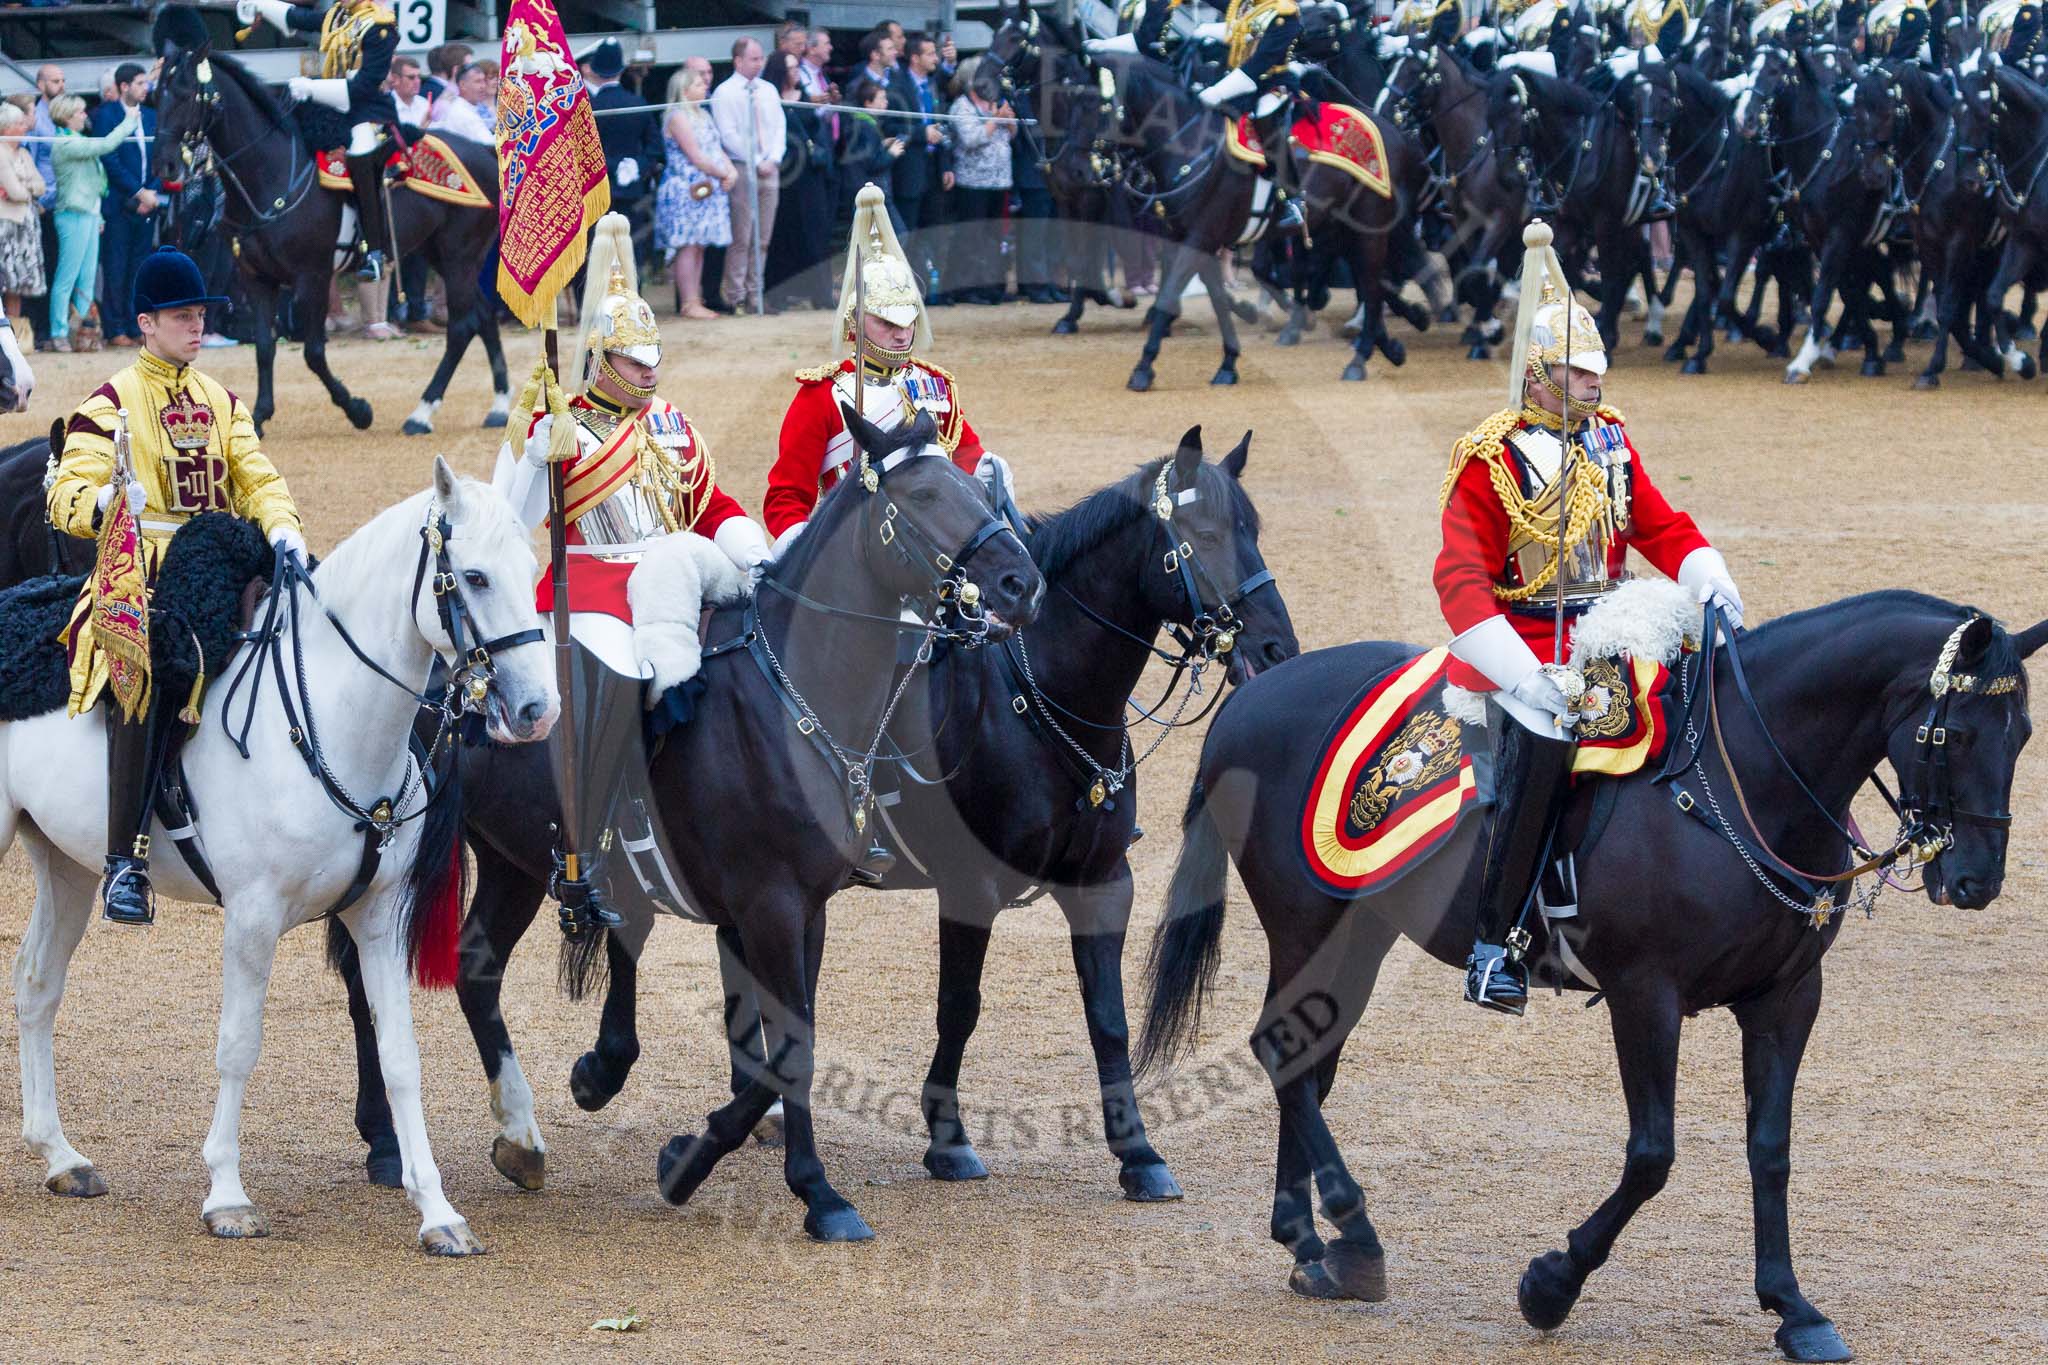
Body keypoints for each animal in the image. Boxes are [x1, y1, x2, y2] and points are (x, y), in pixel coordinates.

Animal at [4, 462, 557, 1260]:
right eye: (476, 577)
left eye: (533, 569)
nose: (539, 709)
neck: (330, 719)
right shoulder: (252, 917)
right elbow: (238, 1045)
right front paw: (227, 1196)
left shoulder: (378, 919)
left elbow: (401, 1056)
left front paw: (437, 1210)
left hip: (69, 867)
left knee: (37, 984)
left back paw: (60, 1156)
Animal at [149, 31, 507, 435]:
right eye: (155, 97)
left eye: (187, 93)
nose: (164, 165)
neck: (272, 172)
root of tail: (485, 150)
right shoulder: (256, 279)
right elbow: (264, 347)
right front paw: (258, 416)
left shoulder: (313, 277)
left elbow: (313, 352)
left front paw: (358, 409)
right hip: (443, 254)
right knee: (483, 315)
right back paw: (499, 406)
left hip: (459, 254)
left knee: (463, 326)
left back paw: (423, 412)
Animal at [1138, 593, 2048, 1365]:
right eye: (1955, 734)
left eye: (2024, 733)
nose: (1976, 879)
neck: (1741, 782)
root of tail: (1250, 701)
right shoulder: (1647, 995)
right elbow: (1652, 1155)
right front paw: (1552, 1283)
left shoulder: (1787, 999)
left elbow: (1771, 1148)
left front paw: (1793, 1306)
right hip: (1312, 927)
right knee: (1280, 1054)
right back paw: (1354, 1242)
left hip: (1360, 934)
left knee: (1305, 1066)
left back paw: (1309, 1243)